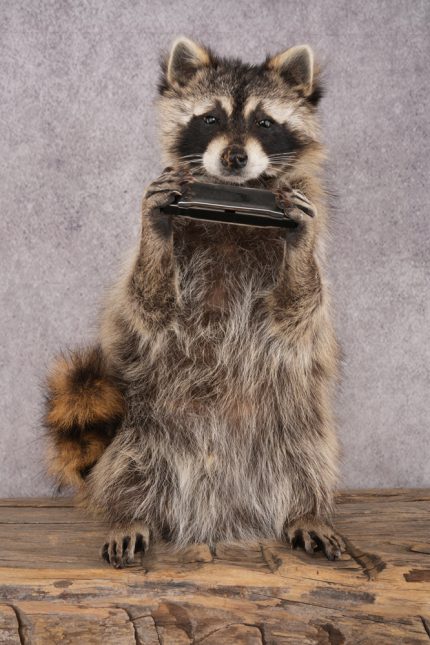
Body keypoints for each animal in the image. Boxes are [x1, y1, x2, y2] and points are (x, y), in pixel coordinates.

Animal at [44, 37, 344, 567]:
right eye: (210, 118)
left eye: (264, 123)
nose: (235, 157)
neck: (233, 203)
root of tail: (222, 513)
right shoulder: (155, 270)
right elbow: (149, 303)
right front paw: (155, 222)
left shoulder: (307, 247)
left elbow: (298, 308)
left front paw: (299, 239)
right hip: (142, 429)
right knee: (130, 466)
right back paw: (129, 513)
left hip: (297, 424)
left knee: (308, 458)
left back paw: (306, 509)